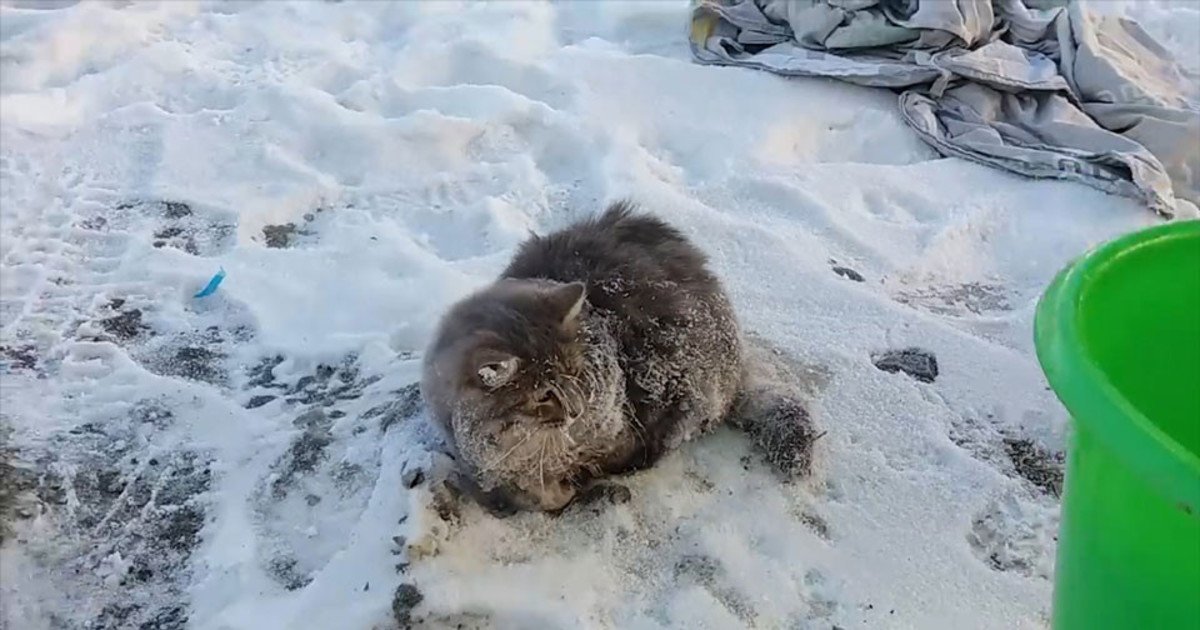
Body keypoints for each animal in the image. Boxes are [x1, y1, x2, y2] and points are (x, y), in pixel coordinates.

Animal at [422, 201, 816, 516]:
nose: (576, 411)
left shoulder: (627, 428)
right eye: (543, 395)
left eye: (574, 374)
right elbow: (526, 494)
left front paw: (571, 485)